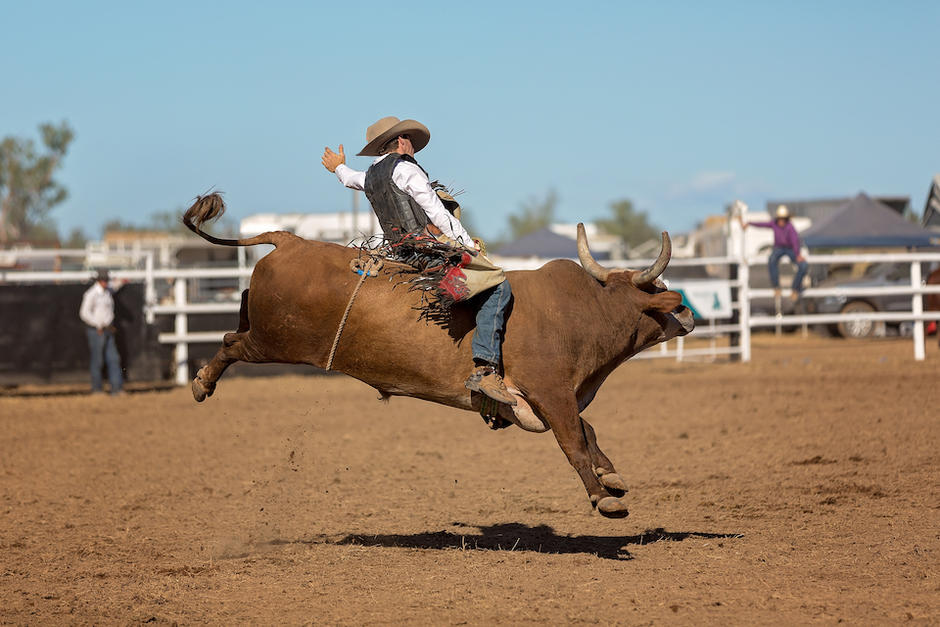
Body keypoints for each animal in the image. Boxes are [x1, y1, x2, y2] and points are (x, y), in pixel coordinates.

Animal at [185, 194, 696, 516]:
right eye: (660, 289)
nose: (689, 314)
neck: (582, 311)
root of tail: (289, 240)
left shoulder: (555, 399)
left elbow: (588, 433)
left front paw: (612, 477)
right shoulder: (551, 393)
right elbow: (574, 442)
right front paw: (603, 497)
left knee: (234, 329)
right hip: (274, 340)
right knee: (230, 343)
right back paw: (201, 383)